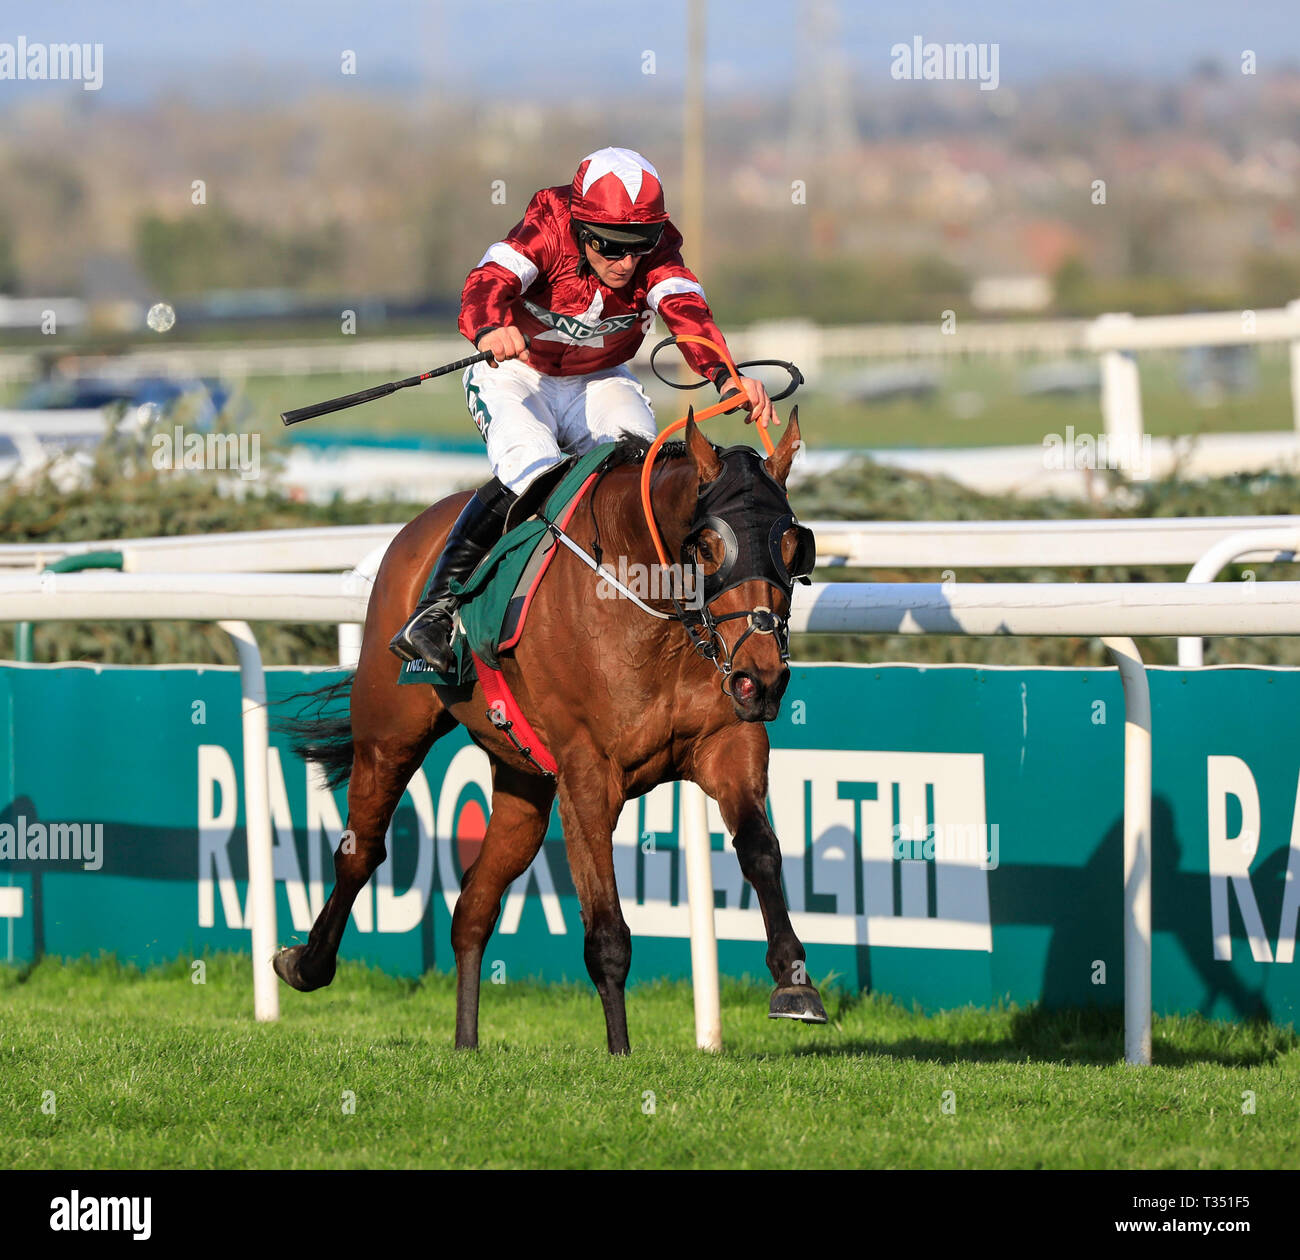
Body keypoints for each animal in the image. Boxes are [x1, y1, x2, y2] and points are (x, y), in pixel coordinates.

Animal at [275, 410, 826, 1050]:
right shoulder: (587, 774)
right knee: (360, 851)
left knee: (473, 905)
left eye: (792, 546)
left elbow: (760, 848)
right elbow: (606, 932)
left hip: (524, 784)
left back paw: (465, 1044)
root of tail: (415, 529)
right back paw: (305, 963)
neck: (649, 605)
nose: (762, 679)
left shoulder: (727, 743)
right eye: (710, 547)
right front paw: (620, 1053)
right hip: (390, 733)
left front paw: (794, 982)